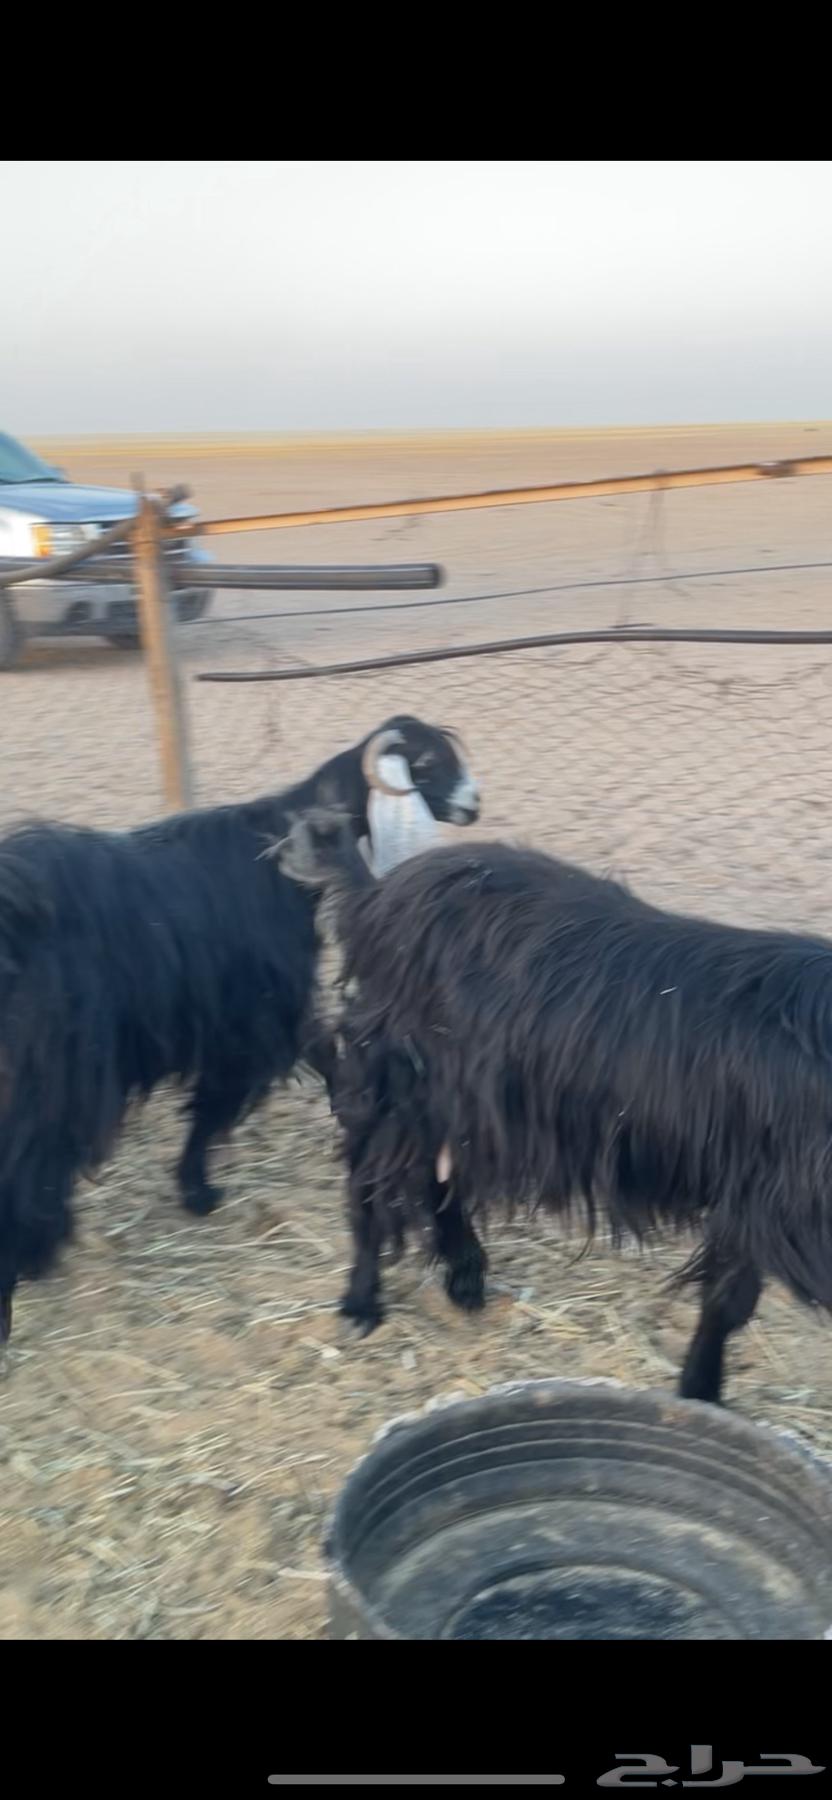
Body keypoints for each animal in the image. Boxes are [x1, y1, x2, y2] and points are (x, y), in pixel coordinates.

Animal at [0, 718, 480, 1341]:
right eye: (424, 764)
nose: (473, 804)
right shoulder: (256, 1015)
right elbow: (221, 1101)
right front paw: (199, 1190)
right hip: (54, 1067)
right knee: (29, 1155)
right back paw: (32, 1252)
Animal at [279, 810, 832, 1406]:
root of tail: (378, 892)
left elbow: (727, 1297)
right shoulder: (769, 1197)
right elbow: (729, 1301)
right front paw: (699, 1394)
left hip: (465, 1104)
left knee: (439, 1178)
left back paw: (465, 1278)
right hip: (398, 1086)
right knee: (373, 1184)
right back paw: (361, 1304)